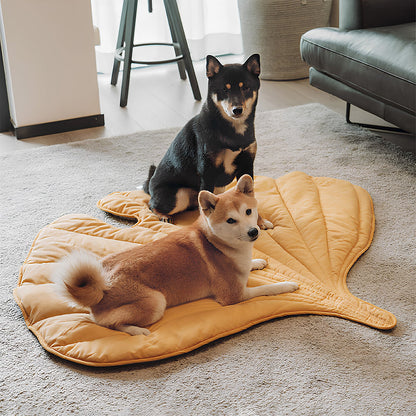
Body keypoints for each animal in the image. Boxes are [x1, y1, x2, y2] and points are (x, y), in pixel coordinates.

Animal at [52, 175, 300, 334]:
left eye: (249, 211)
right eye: (231, 220)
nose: (253, 231)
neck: (217, 243)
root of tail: (99, 290)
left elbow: (251, 264)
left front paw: (257, 262)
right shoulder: (233, 296)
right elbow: (268, 289)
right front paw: (287, 285)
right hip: (156, 301)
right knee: (109, 325)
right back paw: (137, 331)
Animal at [145, 52, 272, 228]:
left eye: (245, 87)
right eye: (224, 90)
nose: (237, 110)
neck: (232, 130)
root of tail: (149, 185)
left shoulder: (247, 164)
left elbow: (249, 199)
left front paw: (260, 221)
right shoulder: (208, 171)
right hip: (178, 195)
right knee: (151, 205)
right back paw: (164, 216)